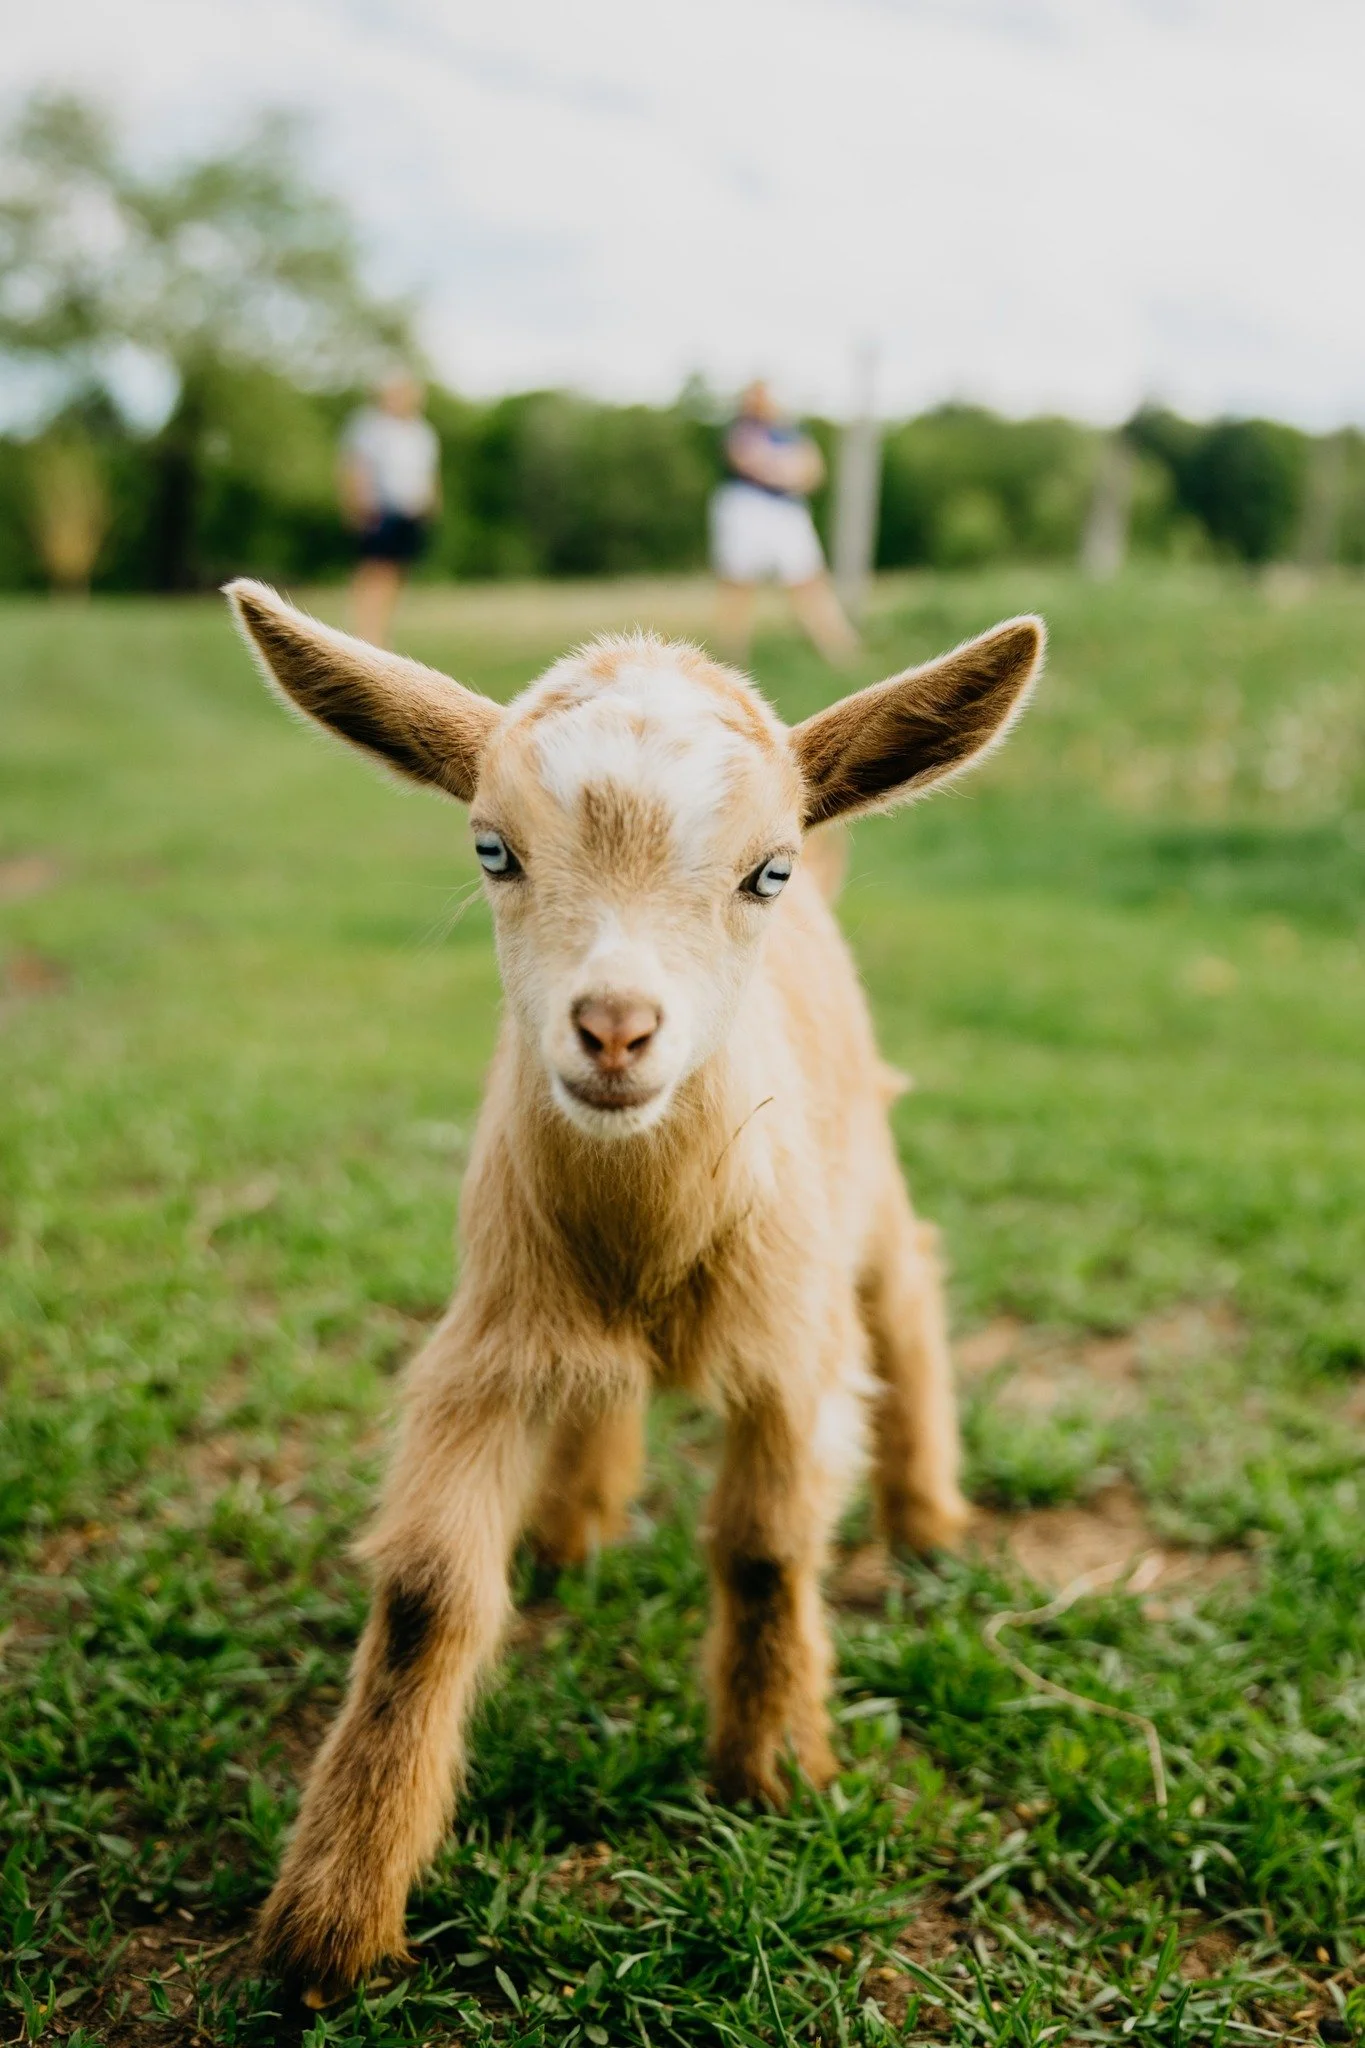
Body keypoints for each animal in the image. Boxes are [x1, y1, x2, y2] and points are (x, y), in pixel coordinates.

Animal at [225, 580, 1044, 1998]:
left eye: (763, 869)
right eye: (493, 848)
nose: (613, 1029)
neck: (650, 1236)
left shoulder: (790, 1342)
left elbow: (766, 1544)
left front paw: (772, 1769)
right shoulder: (488, 1345)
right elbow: (430, 1592)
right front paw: (330, 1923)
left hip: (863, 1178)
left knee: (908, 1284)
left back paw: (929, 1514)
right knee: (605, 1395)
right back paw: (573, 1522)